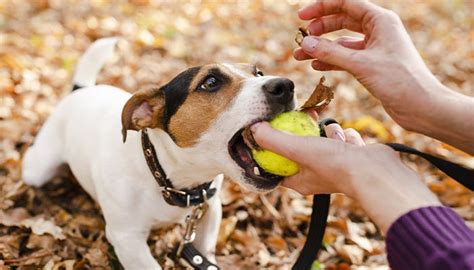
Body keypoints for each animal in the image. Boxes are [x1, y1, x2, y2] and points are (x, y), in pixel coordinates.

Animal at [22, 38, 296, 270]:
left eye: (258, 73)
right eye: (210, 82)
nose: (285, 85)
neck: (166, 174)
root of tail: (80, 90)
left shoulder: (211, 208)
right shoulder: (126, 238)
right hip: (37, 169)